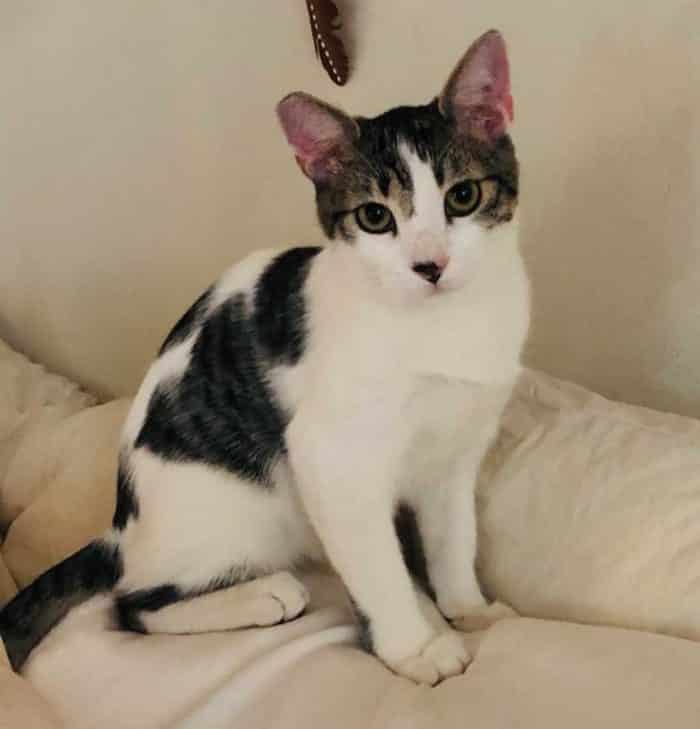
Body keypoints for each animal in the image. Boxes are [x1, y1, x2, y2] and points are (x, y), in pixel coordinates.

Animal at [0, 29, 529, 685]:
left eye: (464, 196)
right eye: (374, 216)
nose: (430, 265)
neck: (443, 327)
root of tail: (120, 526)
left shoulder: (456, 451)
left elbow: (454, 537)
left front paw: (467, 608)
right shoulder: (330, 458)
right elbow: (379, 567)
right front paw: (413, 647)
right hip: (235, 511)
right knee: (133, 606)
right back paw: (263, 595)